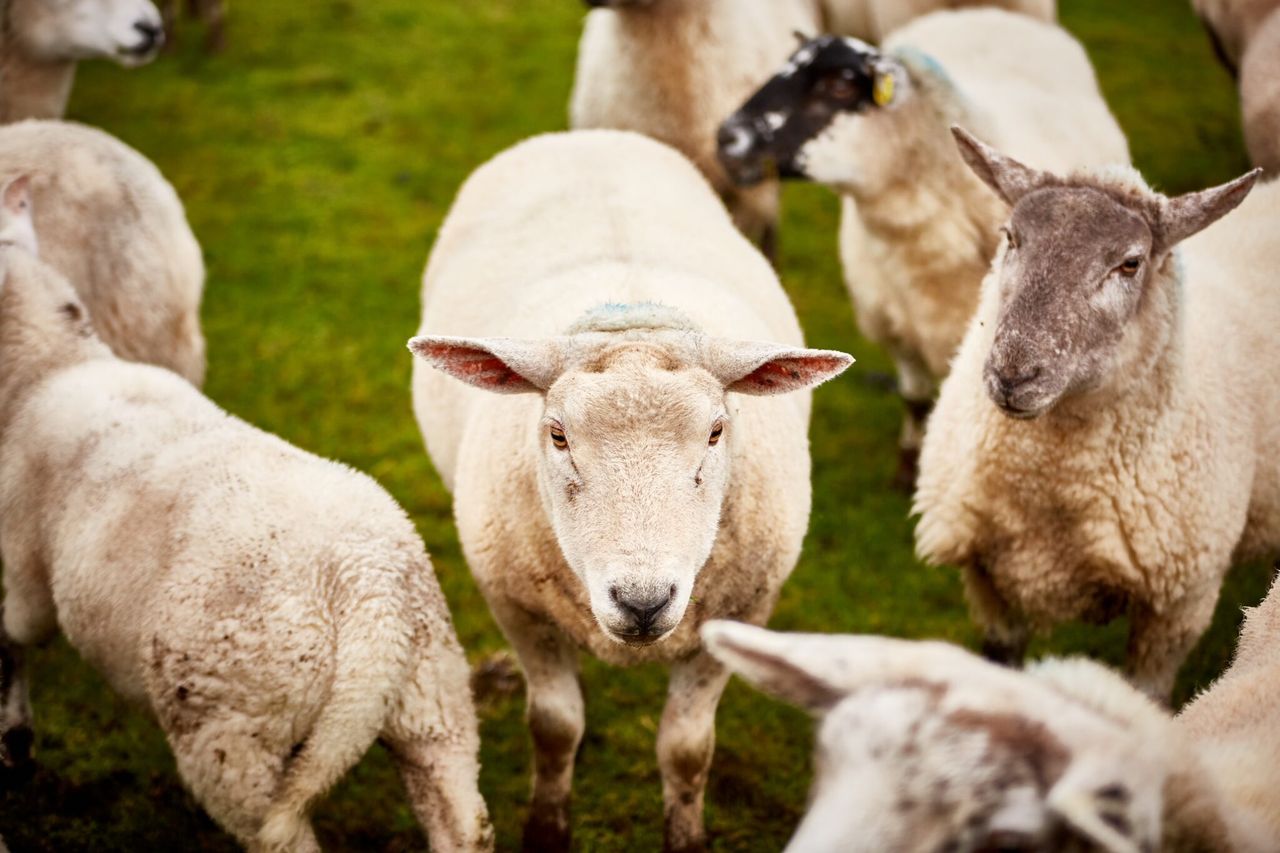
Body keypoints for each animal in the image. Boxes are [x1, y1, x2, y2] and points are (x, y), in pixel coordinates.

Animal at [0, 228, 493, 850]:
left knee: (278, 834)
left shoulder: (26, 568)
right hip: (432, 695)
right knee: (462, 816)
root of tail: (367, 589)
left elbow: (12, 636)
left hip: (234, 729)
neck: (49, 365)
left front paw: (14, 739)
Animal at [408, 129, 852, 852]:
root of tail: (588, 136)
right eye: (557, 433)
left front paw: (686, 834)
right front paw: (547, 826)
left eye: (717, 430)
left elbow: (687, 750)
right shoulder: (516, 607)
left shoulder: (740, 612)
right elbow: (554, 725)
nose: (641, 601)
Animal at [717, 10, 1129, 486]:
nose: (727, 138)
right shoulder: (897, 327)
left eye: (839, 86)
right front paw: (907, 467)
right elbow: (914, 398)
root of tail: (982, 13)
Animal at [914, 128, 1275, 702]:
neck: (1047, 492)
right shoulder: (986, 580)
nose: (1013, 374)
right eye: (1011, 237)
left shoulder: (1178, 608)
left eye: (1130, 263)